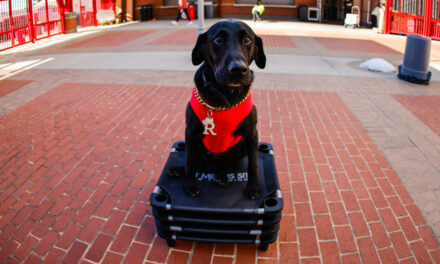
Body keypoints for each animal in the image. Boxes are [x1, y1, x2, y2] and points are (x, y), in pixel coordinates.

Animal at [171, 19, 266, 199]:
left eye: (247, 40)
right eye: (218, 40)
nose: (238, 69)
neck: (225, 98)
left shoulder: (251, 134)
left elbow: (254, 164)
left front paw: (253, 187)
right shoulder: (191, 132)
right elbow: (189, 162)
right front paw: (190, 184)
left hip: (240, 146)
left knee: (222, 162)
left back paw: (221, 175)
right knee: (197, 161)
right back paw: (178, 170)